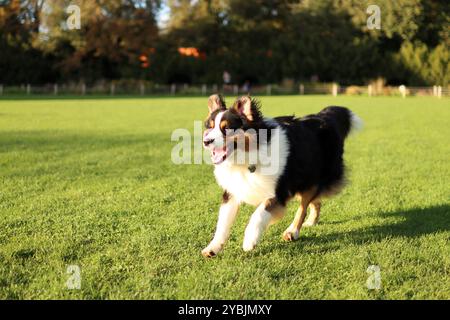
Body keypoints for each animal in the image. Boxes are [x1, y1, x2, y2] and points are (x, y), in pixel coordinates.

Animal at [200, 94, 362, 256]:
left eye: (227, 128)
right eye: (210, 127)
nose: (206, 141)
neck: (247, 159)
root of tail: (324, 117)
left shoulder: (278, 191)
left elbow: (258, 214)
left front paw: (250, 240)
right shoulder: (232, 191)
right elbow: (223, 223)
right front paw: (213, 247)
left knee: (304, 207)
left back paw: (292, 231)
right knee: (315, 201)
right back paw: (311, 221)